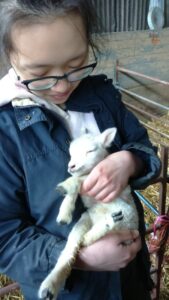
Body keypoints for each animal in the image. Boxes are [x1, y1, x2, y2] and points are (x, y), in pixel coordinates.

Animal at [39, 127, 139, 300]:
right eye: (71, 152)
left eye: (90, 151)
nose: (71, 166)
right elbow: (77, 185)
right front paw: (64, 213)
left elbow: (80, 181)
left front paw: (66, 187)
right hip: (86, 218)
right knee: (72, 246)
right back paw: (50, 287)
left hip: (127, 215)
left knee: (116, 219)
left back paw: (108, 222)